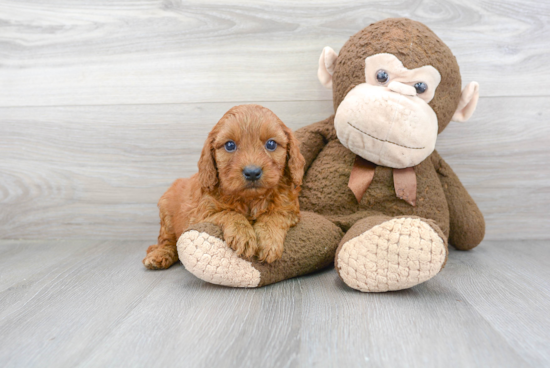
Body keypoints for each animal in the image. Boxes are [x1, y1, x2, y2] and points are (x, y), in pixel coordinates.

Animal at [142, 105, 306, 268]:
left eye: (271, 144)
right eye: (230, 145)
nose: (252, 172)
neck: (250, 199)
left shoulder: (289, 209)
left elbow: (274, 215)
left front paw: (269, 240)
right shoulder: (201, 216)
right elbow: (228, 213)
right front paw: (243, 235)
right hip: (167, 215)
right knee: (167, 241)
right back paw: (159, 255)